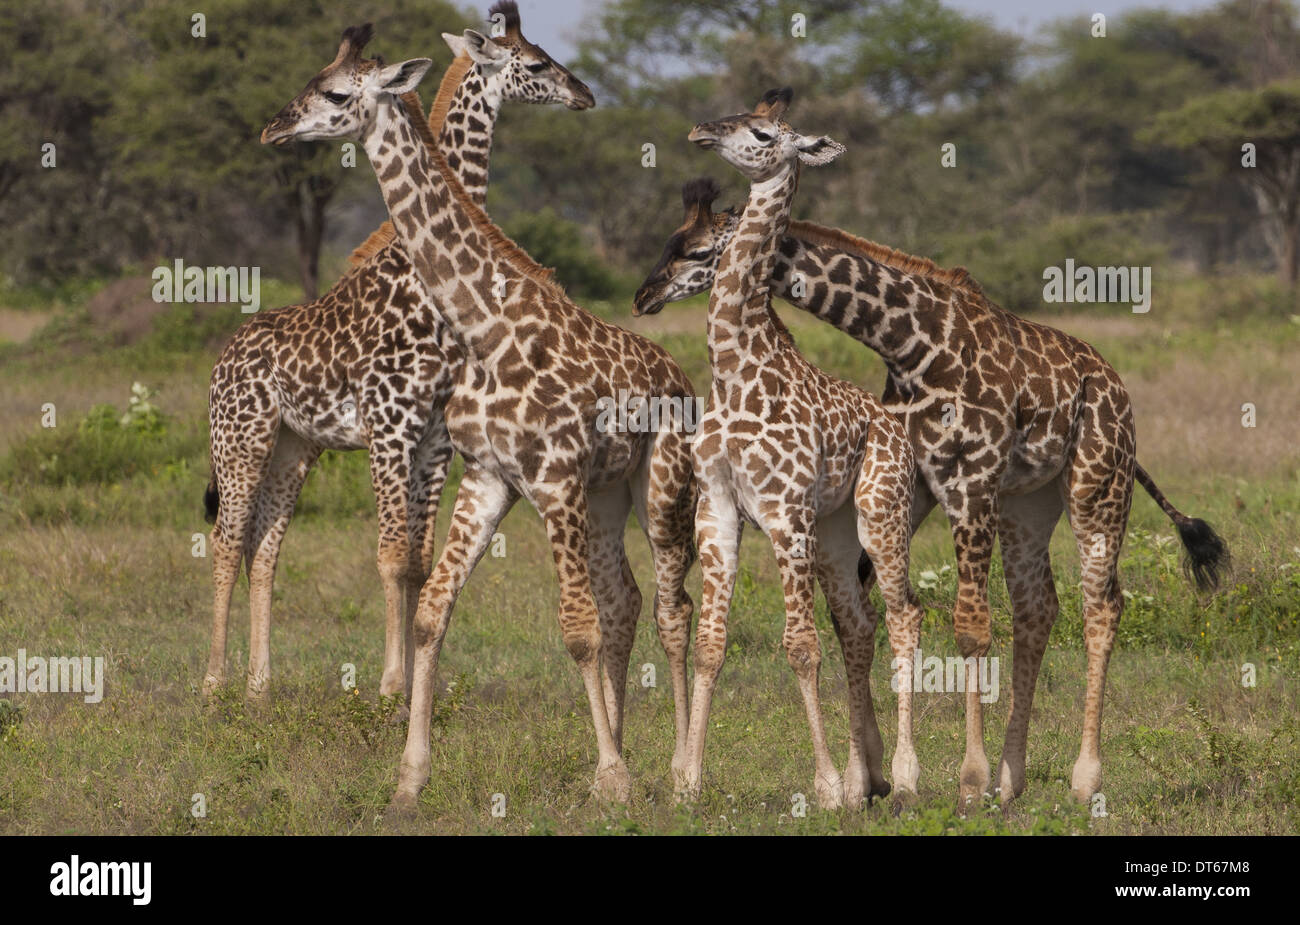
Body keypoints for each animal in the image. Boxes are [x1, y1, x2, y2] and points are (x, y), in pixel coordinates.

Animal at [203, 1, 595, 705]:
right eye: (535, 63)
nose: (584, 93)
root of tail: (223, 360)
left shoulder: (434, 435)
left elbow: (416, 558)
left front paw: (417, 684)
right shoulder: (389, 427)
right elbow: (389, 556)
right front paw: (389, 687)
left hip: (294, 446)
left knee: (263, 547)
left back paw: (260, 685)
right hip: (240, 439)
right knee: (225, 540)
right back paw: (215, 683)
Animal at [260, 23, 698, 809]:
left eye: (335, 94)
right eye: (311, 81)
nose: (275, 127)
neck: (484, 327)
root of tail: (679, 376)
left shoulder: (551, 478)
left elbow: (575, 628)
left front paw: (612, 775)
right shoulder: (489, 477)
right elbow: (433, 610)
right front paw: (410, 776)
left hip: (662, 486)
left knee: (674, 611)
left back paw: (681, 773)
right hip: (608, 493)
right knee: (627, 601)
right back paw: (635, 751)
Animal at [634, 180, 1231, 807]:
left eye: (697, 251)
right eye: (670, 240)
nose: (645, 295)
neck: (908, 342)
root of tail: (1117, 387)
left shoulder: (970, 479)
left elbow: (967, 625)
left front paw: (965, 778)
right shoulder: (909, 484)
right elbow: (861, 616)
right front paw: (867, 774)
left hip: (1098, 490)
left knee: (1102, 606)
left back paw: (1081, 777)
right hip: (1026, 506)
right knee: (1037, 608)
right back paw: (1011, 777)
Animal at [670, 87, 922, 809]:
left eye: (762, 132)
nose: (700, 130)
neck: (734, 370)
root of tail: (896, 427)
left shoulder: (785, 513)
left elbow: (801, 645)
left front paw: (826, 785)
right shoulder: (718, 507)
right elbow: (712, 643)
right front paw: (687, 780)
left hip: (880, 512)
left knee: (906, 614)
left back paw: (908, 773)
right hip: (835, 531)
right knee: (859, 625)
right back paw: (870, 778)